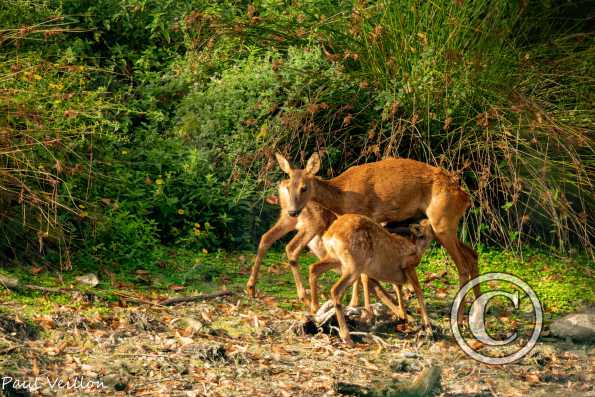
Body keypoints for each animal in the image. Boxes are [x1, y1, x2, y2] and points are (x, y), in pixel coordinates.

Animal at [278, 152, 480, 318]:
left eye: (304, 187)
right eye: (288, 187)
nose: (292, 212)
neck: (342, 196)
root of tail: (465, 198)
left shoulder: (367, 215)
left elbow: (363, 274)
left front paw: (355, 305)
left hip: (442, 222)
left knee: (462, 265)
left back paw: (459, 316)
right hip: (445, 225)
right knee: (472, 255)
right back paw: (475, 311)